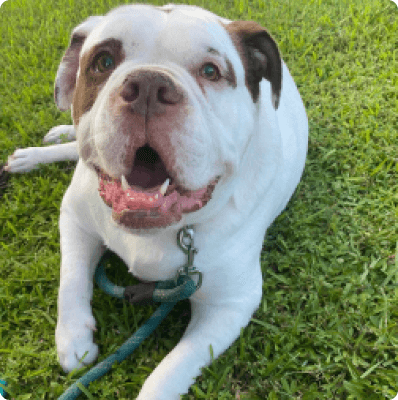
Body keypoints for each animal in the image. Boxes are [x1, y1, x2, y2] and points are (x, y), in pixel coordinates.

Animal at [5, 3, 308, 400]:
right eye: (103, 61)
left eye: (210, 71)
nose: (148, 85)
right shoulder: (75, 216)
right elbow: (70, 278)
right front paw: (73, 338)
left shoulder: (228, 305)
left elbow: (169, 373)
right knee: (73, 145)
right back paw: (38, 151)